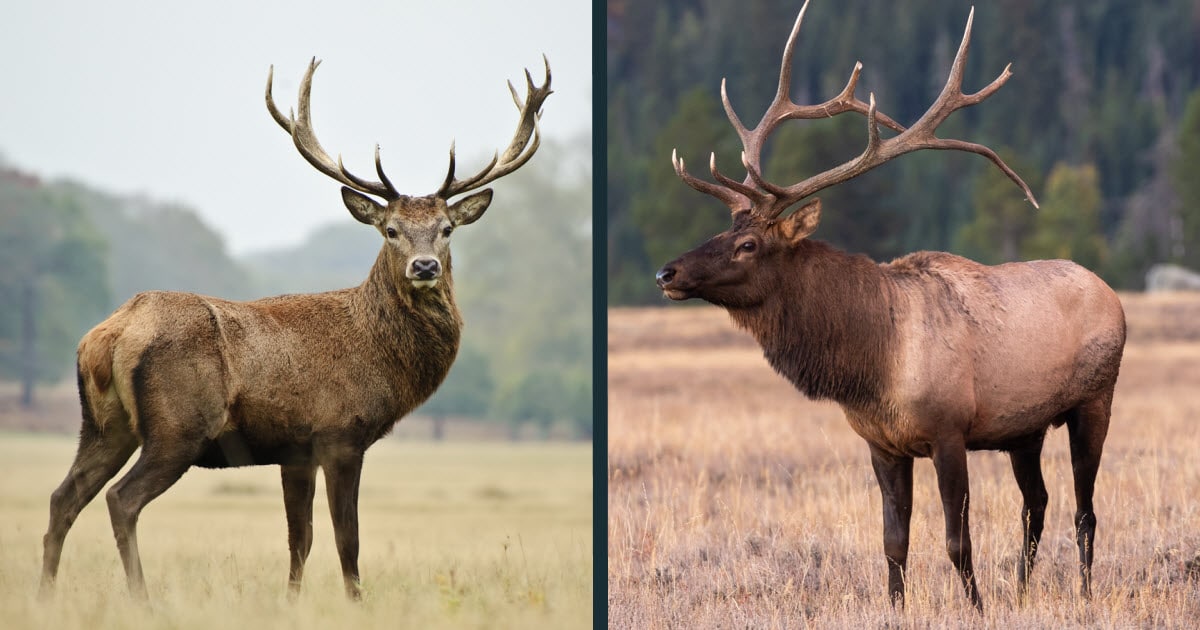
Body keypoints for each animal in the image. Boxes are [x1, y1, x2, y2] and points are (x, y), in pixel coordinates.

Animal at [38, 57, 551, 602]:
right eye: (390, 230)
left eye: (447, 229)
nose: (425, 266)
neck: (379, 356)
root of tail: (108, 335)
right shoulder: (340, 433)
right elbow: (348, 539)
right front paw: (355, 602)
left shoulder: (295, 450)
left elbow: (299, 539)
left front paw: (291, 602)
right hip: (178, 426)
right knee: (121, 499)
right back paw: (142, 599)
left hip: (103, 424)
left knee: (63, 497)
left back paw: (45, 595)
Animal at [654, 1, 1125, 612]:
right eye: (723, 229)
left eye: (748, 243)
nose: (667, 273)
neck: (872, 365)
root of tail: (1110, 293)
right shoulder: (882, 444)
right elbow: (893, 542)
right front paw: (899, 607)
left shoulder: (949, 431)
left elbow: (955, 540)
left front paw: (977, 607)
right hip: (1027, 427)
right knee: (1036, 504)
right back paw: (1022, 592)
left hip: (1095, 400)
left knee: (1084, 510)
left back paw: (1085, 595)